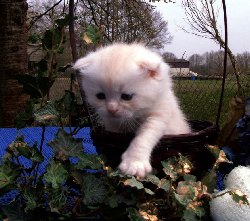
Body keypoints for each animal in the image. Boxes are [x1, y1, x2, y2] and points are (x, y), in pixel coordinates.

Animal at [73, 43, 190, 177]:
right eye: (100, 96)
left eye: (127, 97)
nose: (111, 109)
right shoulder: (111, 124)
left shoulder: (159, 116)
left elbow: (144, 136)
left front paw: (134, 163)